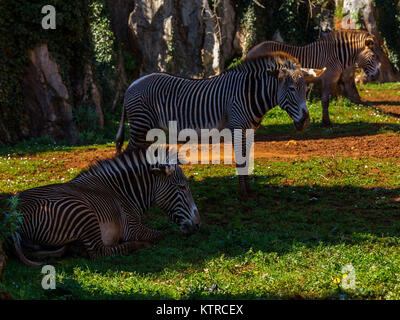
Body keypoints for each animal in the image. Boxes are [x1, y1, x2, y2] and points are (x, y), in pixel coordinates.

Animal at [10, 146, 200, 266]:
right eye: (182, 187)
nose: (198, 225)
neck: (123, 193)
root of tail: (12, 219)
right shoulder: (131, 227)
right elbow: (160, 234)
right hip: (83, 212)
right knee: (98, 252)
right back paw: (139, 245)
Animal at [115, 51, 324, 199]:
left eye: (305, 89)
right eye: (291, 89)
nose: (305, 122)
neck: (249, 94)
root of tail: (133, 84)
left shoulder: (249, 131)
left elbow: (246, 158)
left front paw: (249, 190)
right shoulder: (238, 128)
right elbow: (240, 159)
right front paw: (244, 193)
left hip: (147, 129)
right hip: (140, 127)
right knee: (128, 153)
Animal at [247, 29, 382, 125]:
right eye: (374, 56)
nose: (376, 77)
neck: (337, 55)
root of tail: (251, 50)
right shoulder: (328, 80)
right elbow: (325, 101)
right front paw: (326, 122)